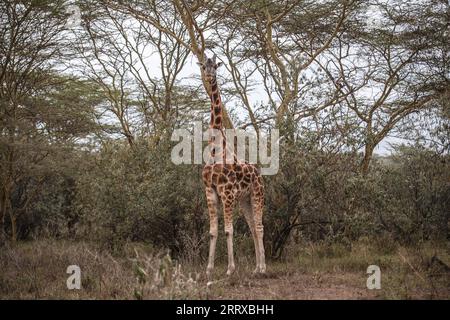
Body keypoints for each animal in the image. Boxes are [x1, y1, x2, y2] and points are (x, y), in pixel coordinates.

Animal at [198, 53, 266, 276]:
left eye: (215, 66)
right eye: (204, 66)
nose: (209, 76)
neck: (216, 149)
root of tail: (259, 174)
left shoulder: (227, 193)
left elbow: (229, 230)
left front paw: (230, 269)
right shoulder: (210, 191)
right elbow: (213, 231)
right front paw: (209, 268)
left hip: (257, 195)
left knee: (260, 227)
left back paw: (264, 268)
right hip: (245, 200)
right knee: (253, 227)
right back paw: (256, 268)